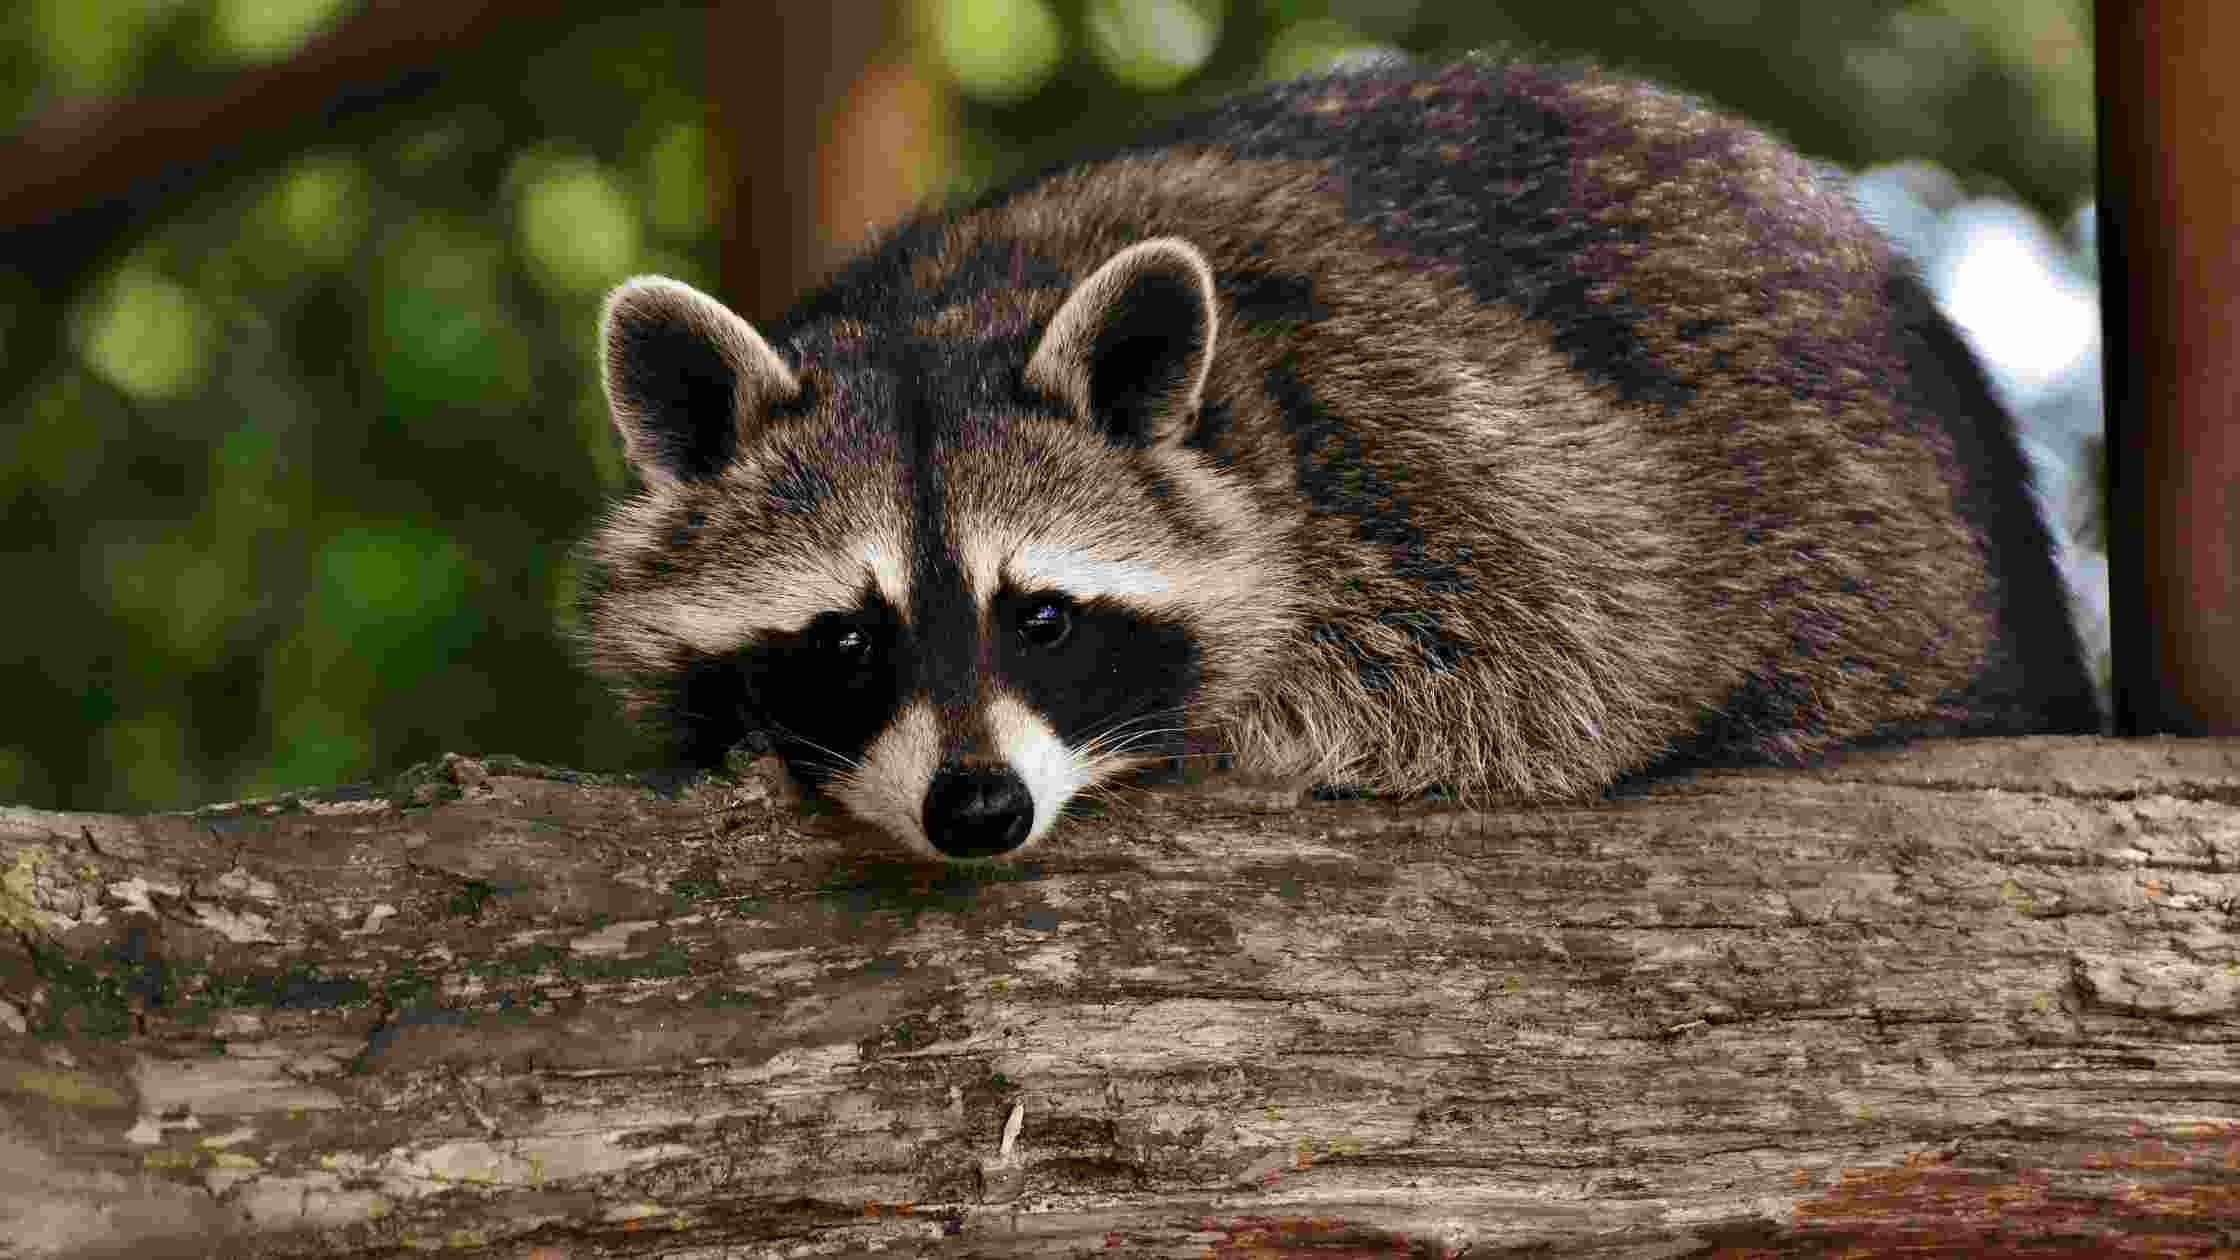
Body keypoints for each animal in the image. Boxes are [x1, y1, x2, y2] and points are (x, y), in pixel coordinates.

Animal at [577, 59, 2098, 861]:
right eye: (845, 638)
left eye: (1044, 618)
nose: (979, 811)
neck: (950, 307)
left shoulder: (1440, 446)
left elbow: (1570, 656)